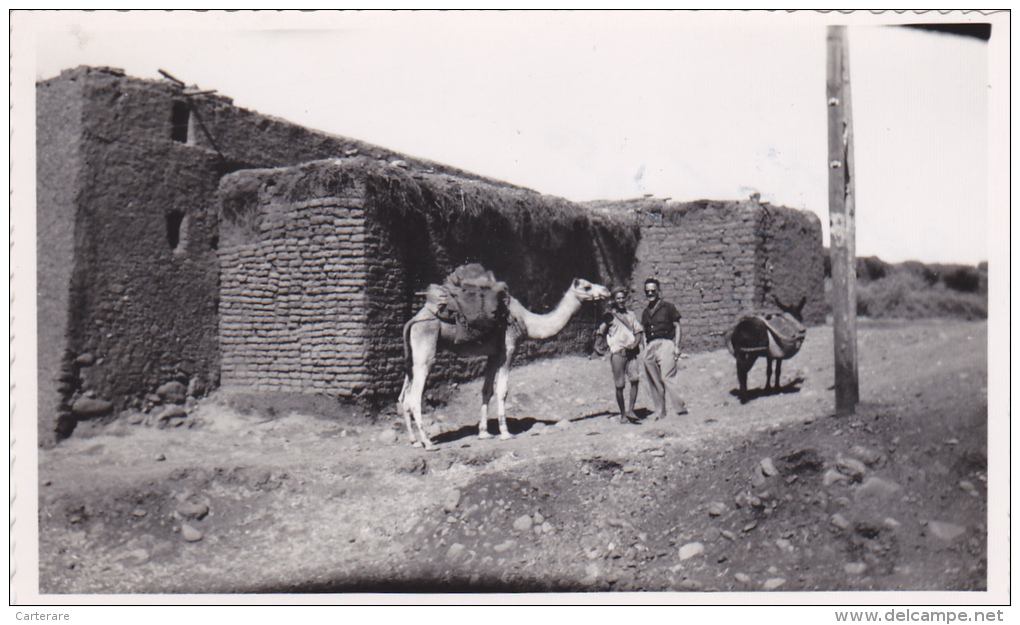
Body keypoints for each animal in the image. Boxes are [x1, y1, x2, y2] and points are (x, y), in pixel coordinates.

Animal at [395, 277, 603, 448]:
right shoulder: (508, 348)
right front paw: (505, 433)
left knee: (403, 398)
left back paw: (414, 441)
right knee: (414, 397)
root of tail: (413, 320)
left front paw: (484, 433)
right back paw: (428, 443)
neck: (526, 320)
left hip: (412, 356)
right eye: (587, 286)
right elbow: (502, 390)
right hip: (426, 345)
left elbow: (487, 390)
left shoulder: (493, 354)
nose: (606, 291)